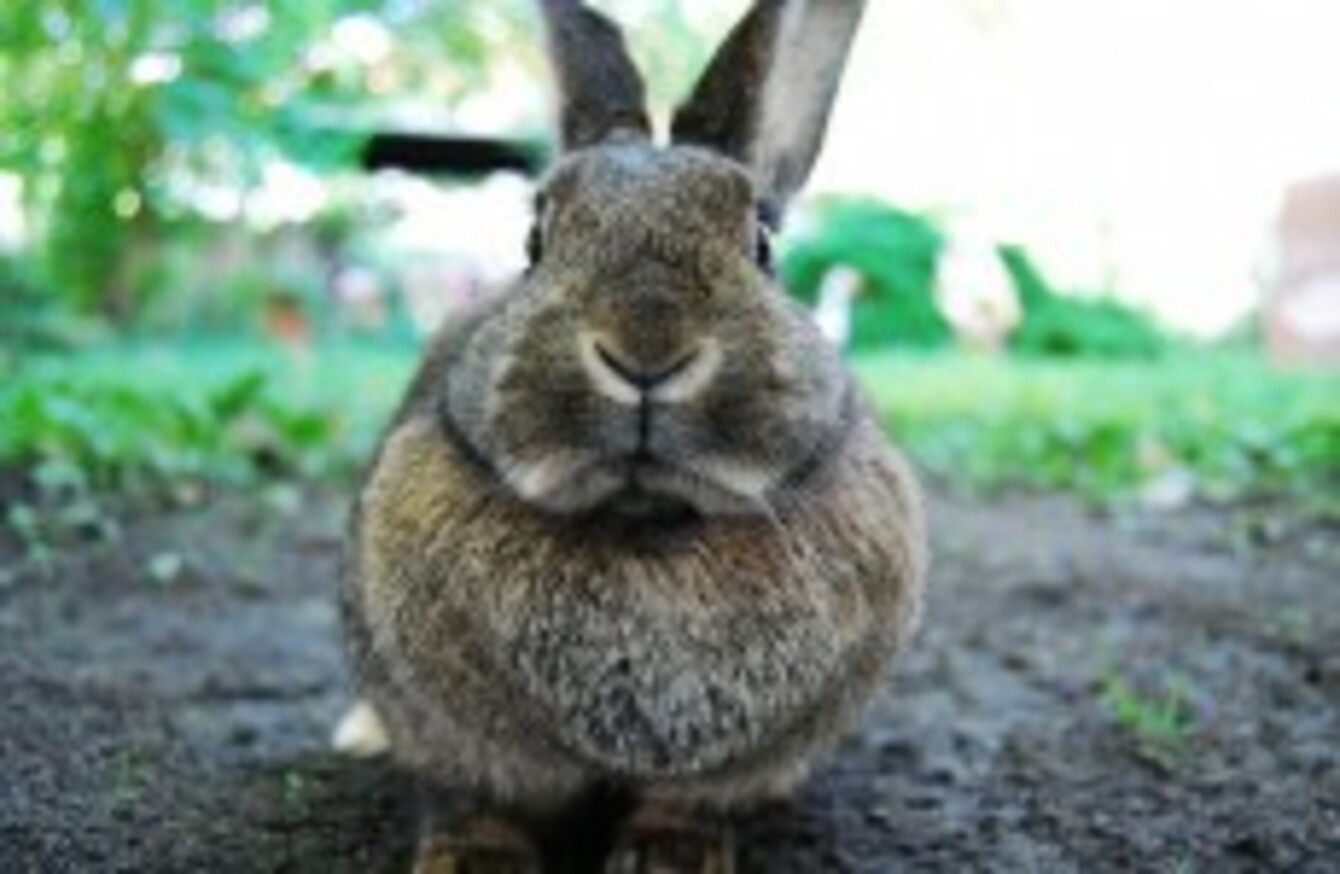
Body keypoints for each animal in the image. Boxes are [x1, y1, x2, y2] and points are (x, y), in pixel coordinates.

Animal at [341, 0, 926, 870]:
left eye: (762, 244)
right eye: (535, 242)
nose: (646, 345)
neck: (644, 522)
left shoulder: (732, 771)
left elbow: (685, 803)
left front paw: (669, 857)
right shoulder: (444, 735)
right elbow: (470, 799)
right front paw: (474, 861)